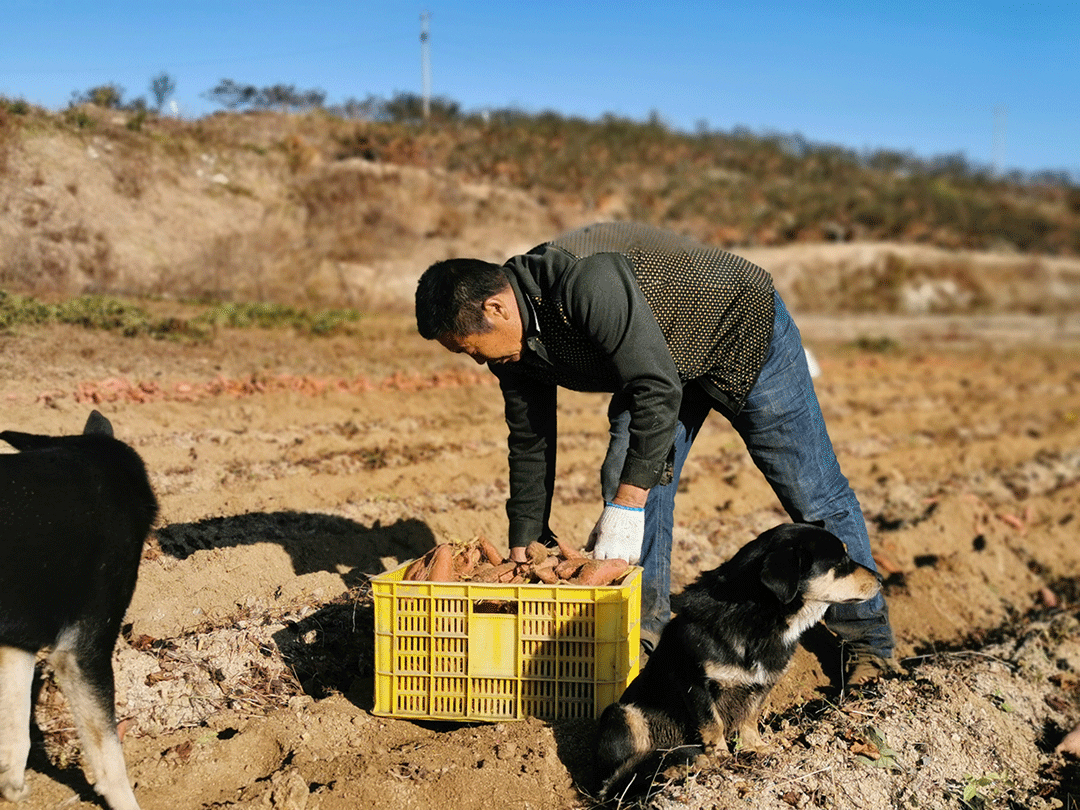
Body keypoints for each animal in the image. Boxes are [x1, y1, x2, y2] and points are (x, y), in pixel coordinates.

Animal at [596, 522, 881, 803]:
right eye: (841, 562)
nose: (880, 579)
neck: (758, 616)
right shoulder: (695, 683)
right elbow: (713, 724)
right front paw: (722, 759)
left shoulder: (761, 683)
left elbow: (749, 716)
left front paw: (756, 747)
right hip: (621, 714)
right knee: (620, 777)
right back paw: (681, 768)